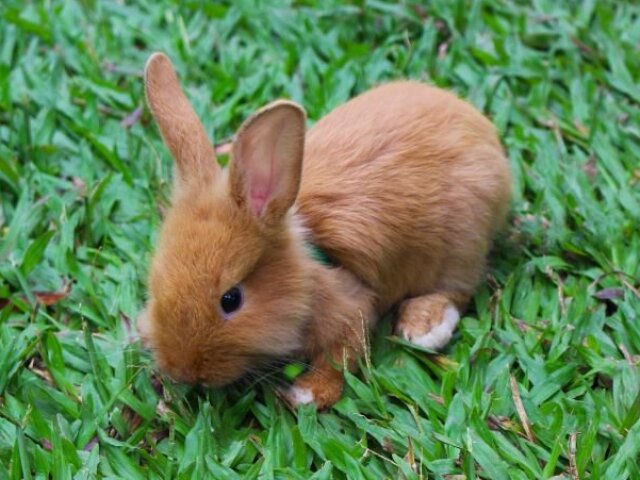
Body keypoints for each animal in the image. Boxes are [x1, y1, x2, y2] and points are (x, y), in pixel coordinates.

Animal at [138, 52, 512, 408]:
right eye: (155, 283)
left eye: (231, 299)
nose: (182, 370)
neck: (307, 272)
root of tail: (481, 130)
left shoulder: (353, 310)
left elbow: (340, 359)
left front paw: (306, 395)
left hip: (460, 244)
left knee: (457, 288)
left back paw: (424, 327)